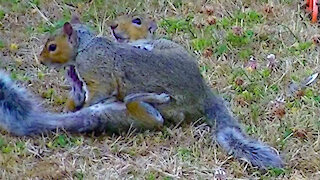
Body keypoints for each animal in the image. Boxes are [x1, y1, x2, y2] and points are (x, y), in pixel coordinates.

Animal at [0, 15, 284, 170]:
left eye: (52, 46)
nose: (40, 60)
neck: (85, 47)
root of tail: (202, 93)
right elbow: (76, 98)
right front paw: (71, 103)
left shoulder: (97, 76)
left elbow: (96, 94)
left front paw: (84, 107)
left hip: (162, 96)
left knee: (139, 105)